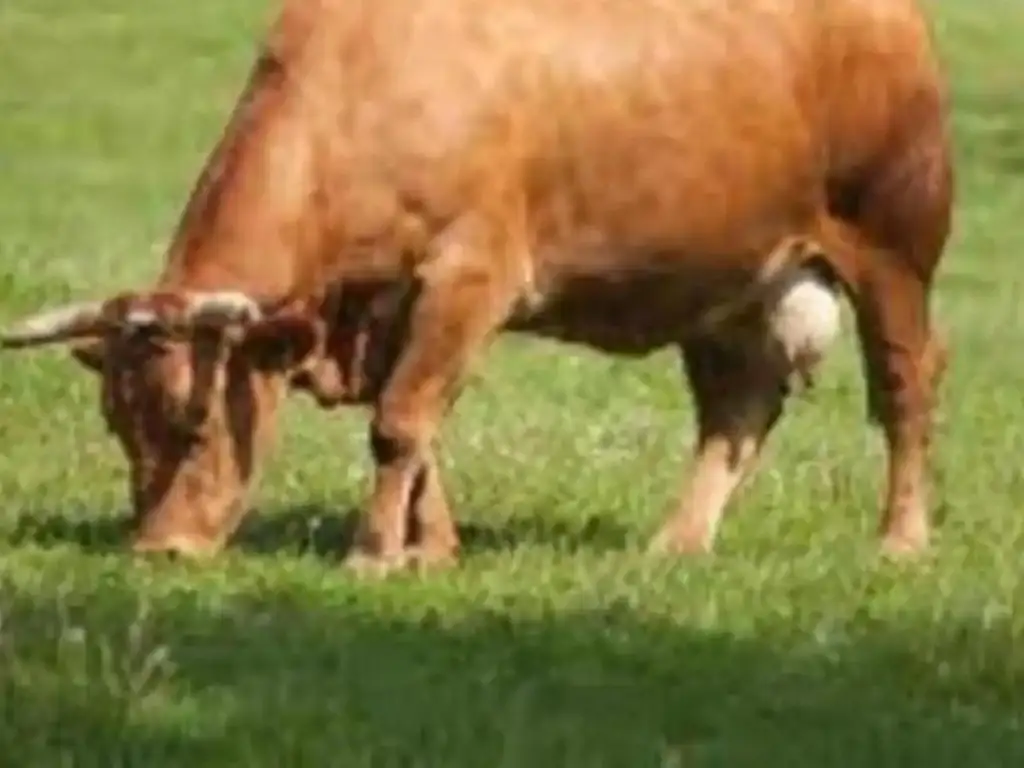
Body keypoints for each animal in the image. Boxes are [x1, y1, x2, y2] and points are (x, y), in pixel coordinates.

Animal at [0, 0, 952, 574]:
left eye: (197, 424)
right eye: (118, 425)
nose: (159, 550)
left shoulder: (470, 275)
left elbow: (397, 424)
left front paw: (373, 554)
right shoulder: (384, 311)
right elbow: (415, 428)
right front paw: (432, 551)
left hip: (893, 248)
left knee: (904, 385)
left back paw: (901, 539)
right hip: (726, 283)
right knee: (737, 409)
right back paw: (676, 544)